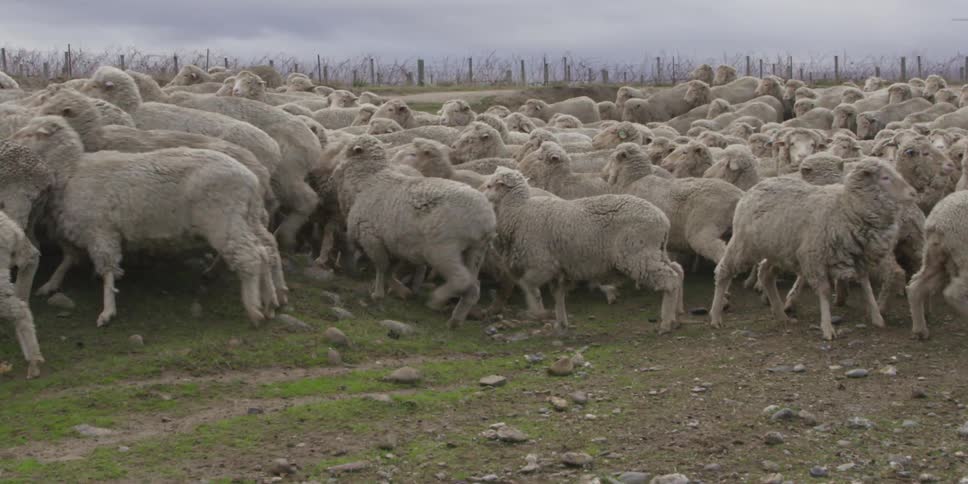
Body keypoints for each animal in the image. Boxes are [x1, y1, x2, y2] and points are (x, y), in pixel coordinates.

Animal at [12, 116, 283, 326]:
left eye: (31, 134)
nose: (11, 143)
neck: (71, 171)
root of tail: (251, 178)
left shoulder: (101, 230)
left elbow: (107, 270)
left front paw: (107, 311)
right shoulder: (83, 230)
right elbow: (68, 258)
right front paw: (51, 284)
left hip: (223, 219)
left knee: (250, 257)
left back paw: (254, 309)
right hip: (246, 218)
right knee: (263, 252)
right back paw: (269, 302)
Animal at [336, 135, 495, 325]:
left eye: (348, 150)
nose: (336, 165)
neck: (369, 180)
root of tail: (487, 219)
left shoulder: (371, 237)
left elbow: (381, 267)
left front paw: (378, 294)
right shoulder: (392, 243)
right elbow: (389, 270)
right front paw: (402, 291)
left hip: (442, 249)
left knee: (461, 280)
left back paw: (436, 300)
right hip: (475, 251)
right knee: (473, 287)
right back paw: (456, 320)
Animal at [482, 167, 682, 333]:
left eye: (490, 185)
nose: (482, 197)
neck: (517, 212)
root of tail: (663, 220)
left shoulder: (542, 264)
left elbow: (527, 285)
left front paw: (537, 313)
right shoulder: (558, 269)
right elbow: (558, 295)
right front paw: (561, 324)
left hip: (637, 254)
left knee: (670, 280)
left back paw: (665, 323)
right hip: (654, 251)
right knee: (677, 270)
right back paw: (676, 315)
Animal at [603, 142, 743, 265]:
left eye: (611, 159)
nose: (603, 173)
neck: (632, 181)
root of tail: (739, 196)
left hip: (704, 230)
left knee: (720, 252)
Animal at [709, 158, 915, 340]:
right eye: (885, 178)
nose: (913, 193)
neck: (846, 207)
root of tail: (757, 186)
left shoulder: (858, 258)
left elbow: (867, 288)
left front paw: (877, 318)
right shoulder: (814, 257)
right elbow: (824, 292)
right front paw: (827, 328)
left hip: (780, 250)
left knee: (766, 274)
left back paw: (782, 315)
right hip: (744, 244)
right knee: (724, 270)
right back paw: (716, 316)